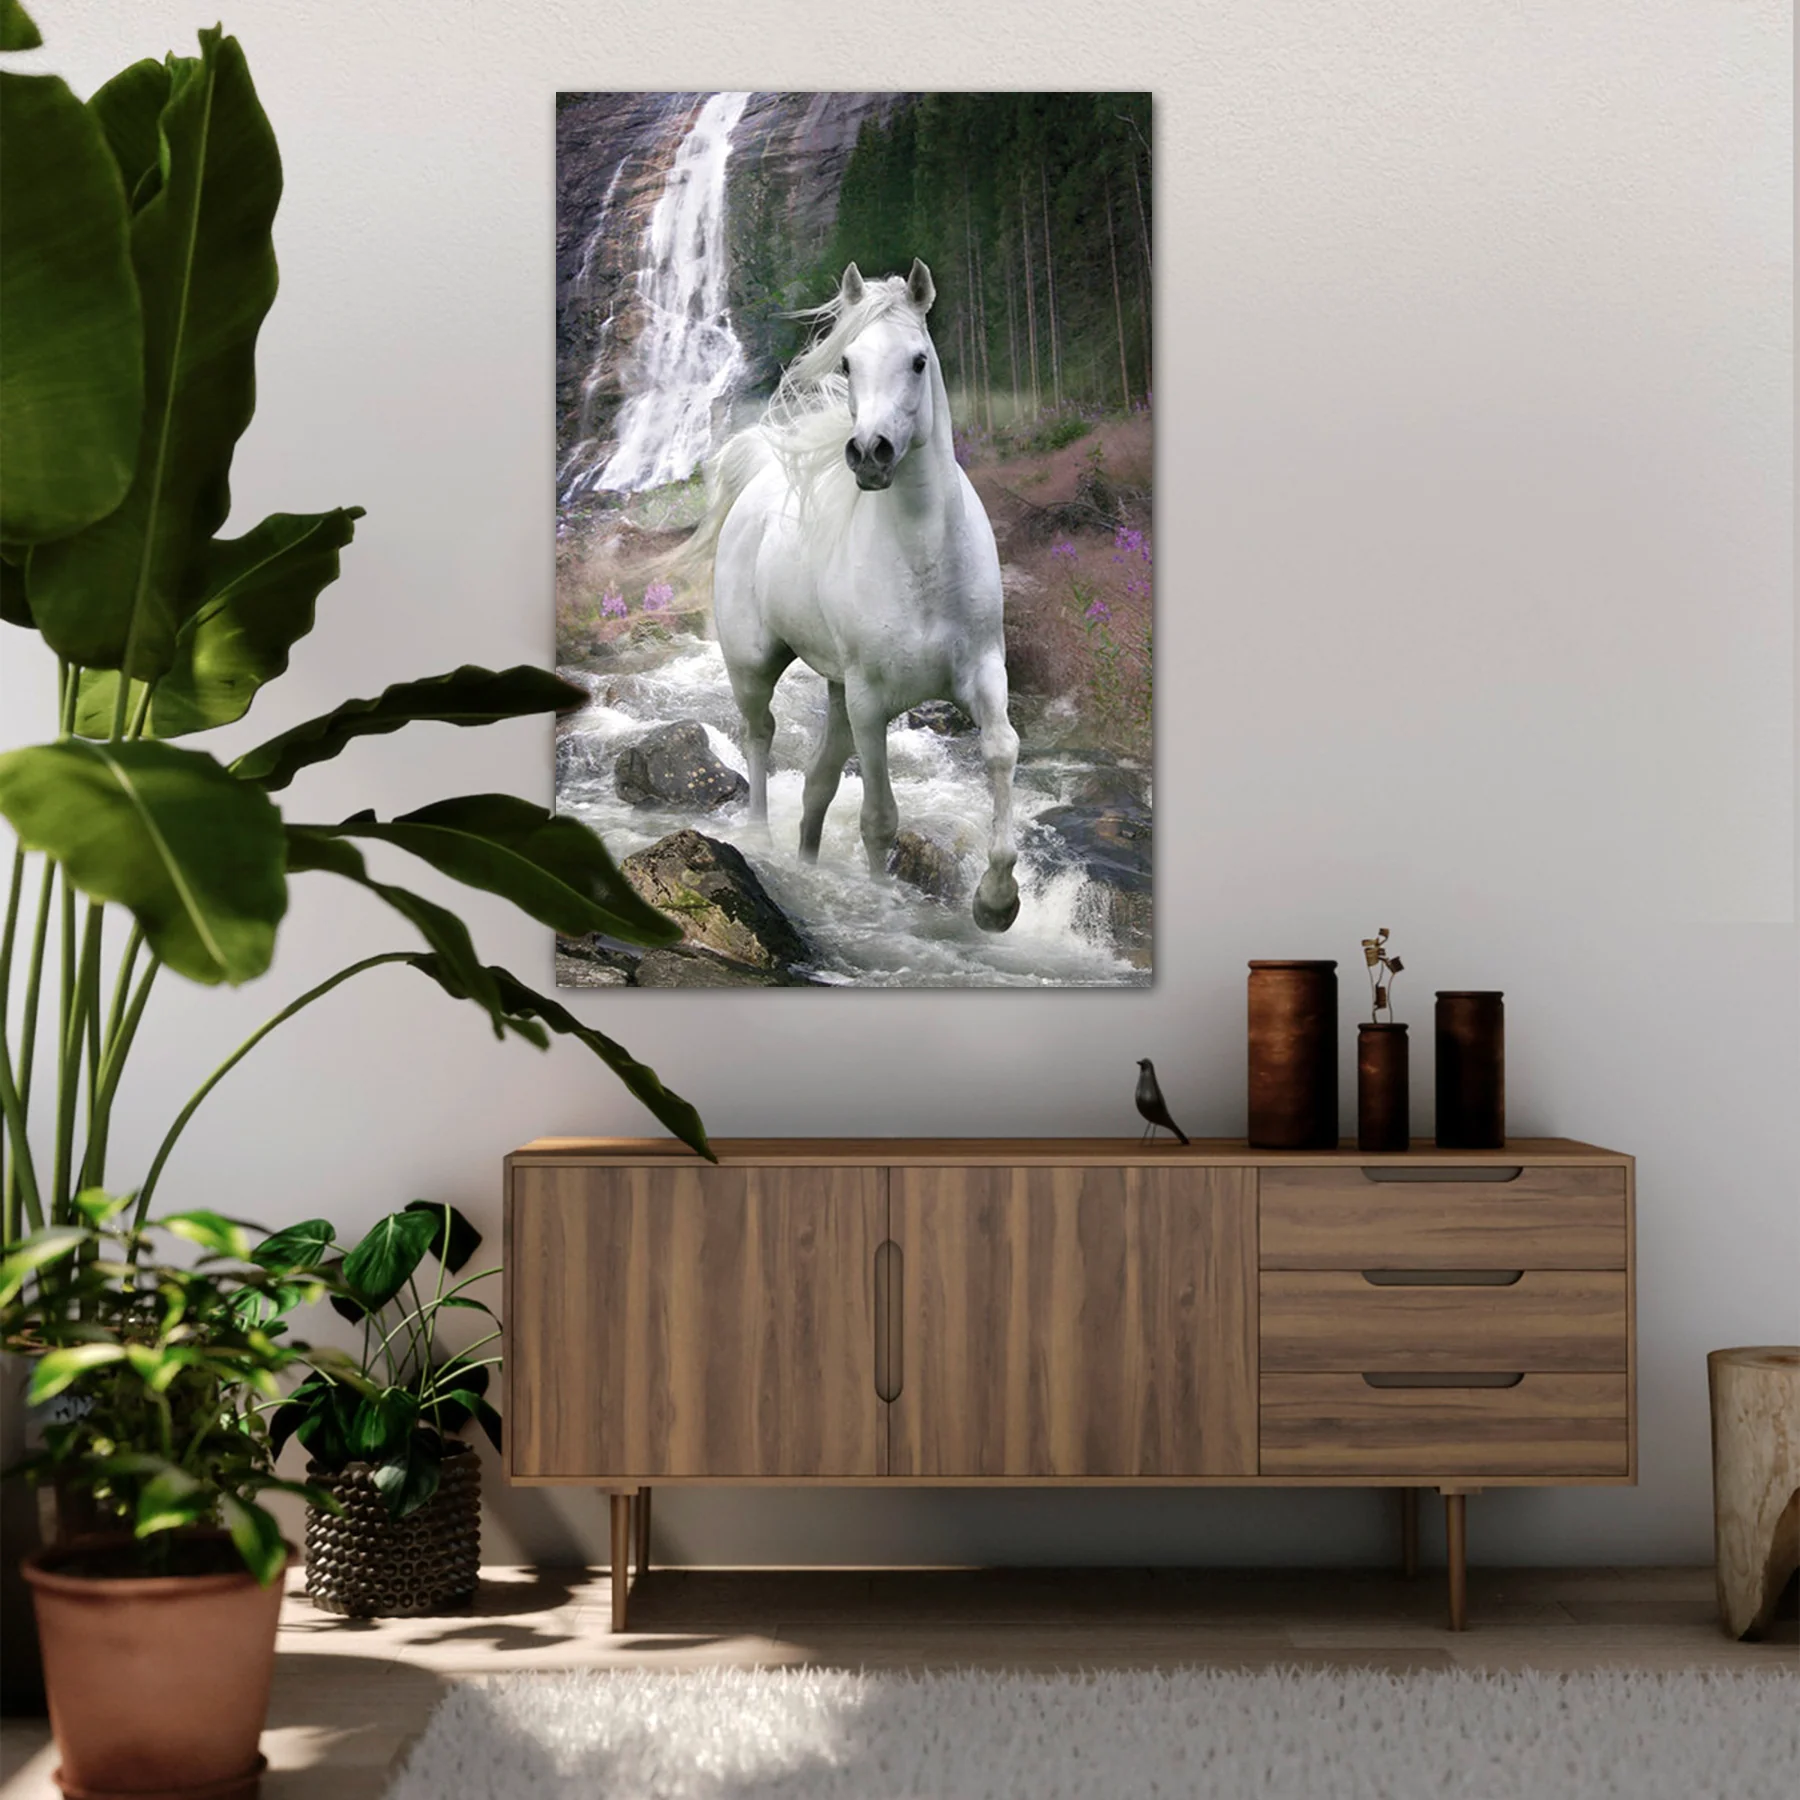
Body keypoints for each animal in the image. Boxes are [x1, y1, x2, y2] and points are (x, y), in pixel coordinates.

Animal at [691, 258, 1021, 933]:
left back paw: (807, 859)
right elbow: (878, 818)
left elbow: (1001, 750)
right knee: (760, 736)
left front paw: (997, 901)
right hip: (755, 667)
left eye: (918, 360)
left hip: (837, 689)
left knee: (817, 782)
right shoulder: (872, 703)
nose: (870, 453)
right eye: (846, 363)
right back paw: (759, 840)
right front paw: (882, 905)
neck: (922, 561)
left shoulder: (984, 671)